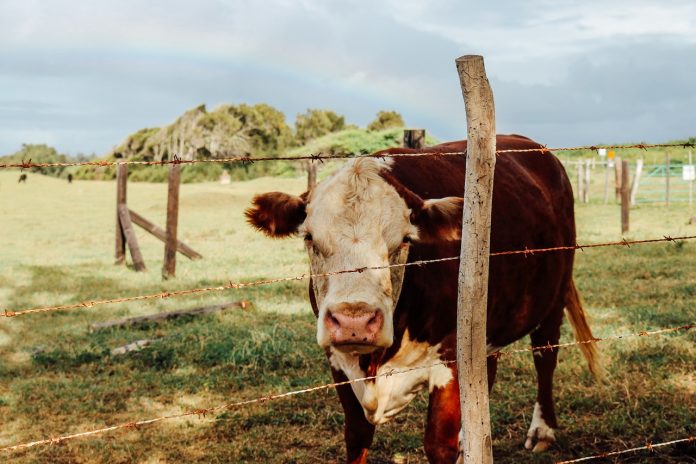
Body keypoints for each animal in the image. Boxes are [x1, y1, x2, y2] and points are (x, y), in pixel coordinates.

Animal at [245, 134, 600, 463]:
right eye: (309, 238)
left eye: (405, 240)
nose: (353, 321)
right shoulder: (338, 361)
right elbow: (356, 436)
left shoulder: (452, 356)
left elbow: (438, 445)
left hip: (552, 298)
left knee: (545, 356)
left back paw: (542, 430)